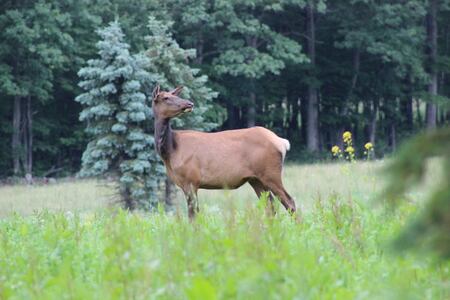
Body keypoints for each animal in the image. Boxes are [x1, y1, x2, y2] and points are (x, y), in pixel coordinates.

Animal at [153, 84, 298, 218]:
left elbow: (193, 214)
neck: (171, 151)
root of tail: (282, 142)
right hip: (255, 179)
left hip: (271, 174)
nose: (190, 103)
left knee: (289, 202)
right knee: (270, 206)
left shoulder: (191, 180)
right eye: (166, 97)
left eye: (174, 95)